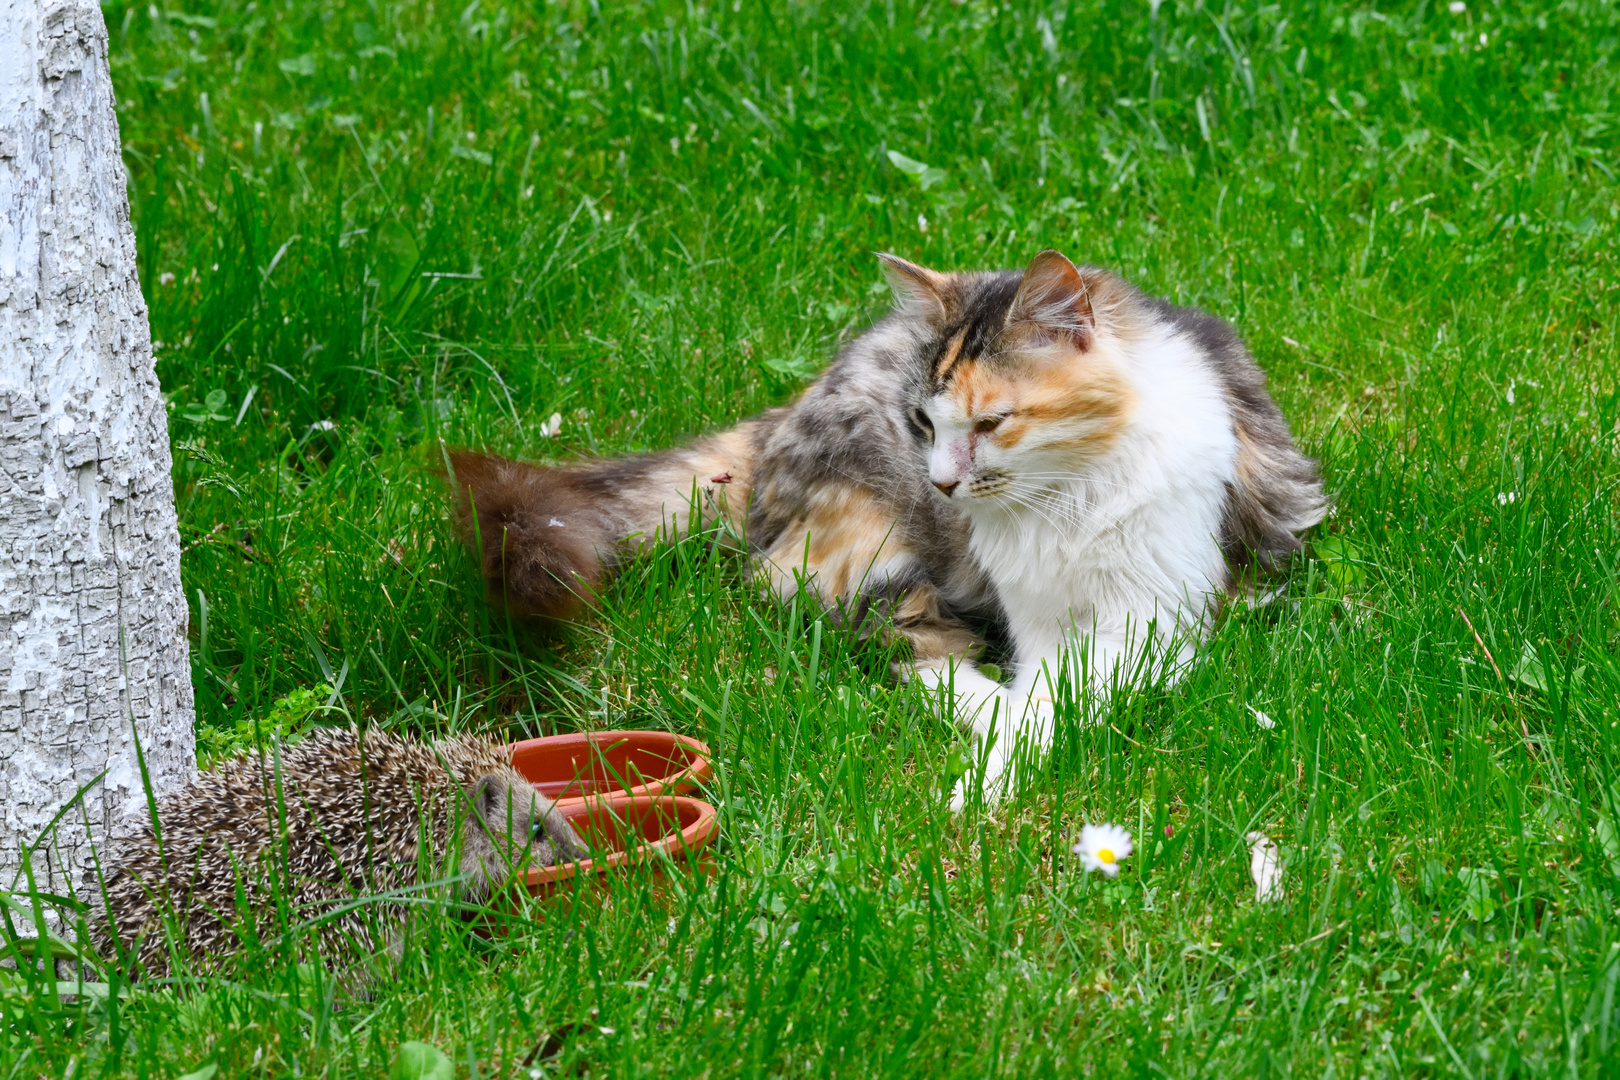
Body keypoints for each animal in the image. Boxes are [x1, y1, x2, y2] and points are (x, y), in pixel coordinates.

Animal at [440, 249, 1315, 806]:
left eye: (991, 423)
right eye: (924, 423)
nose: (944, 484)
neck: (1067, 498)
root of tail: (782, 415)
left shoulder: (1152, 619)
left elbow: (1064, 697)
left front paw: (987, 780)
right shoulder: (1038, 618)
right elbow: (1034, 697)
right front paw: (988, 770)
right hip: (865, 548)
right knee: (910, 647)